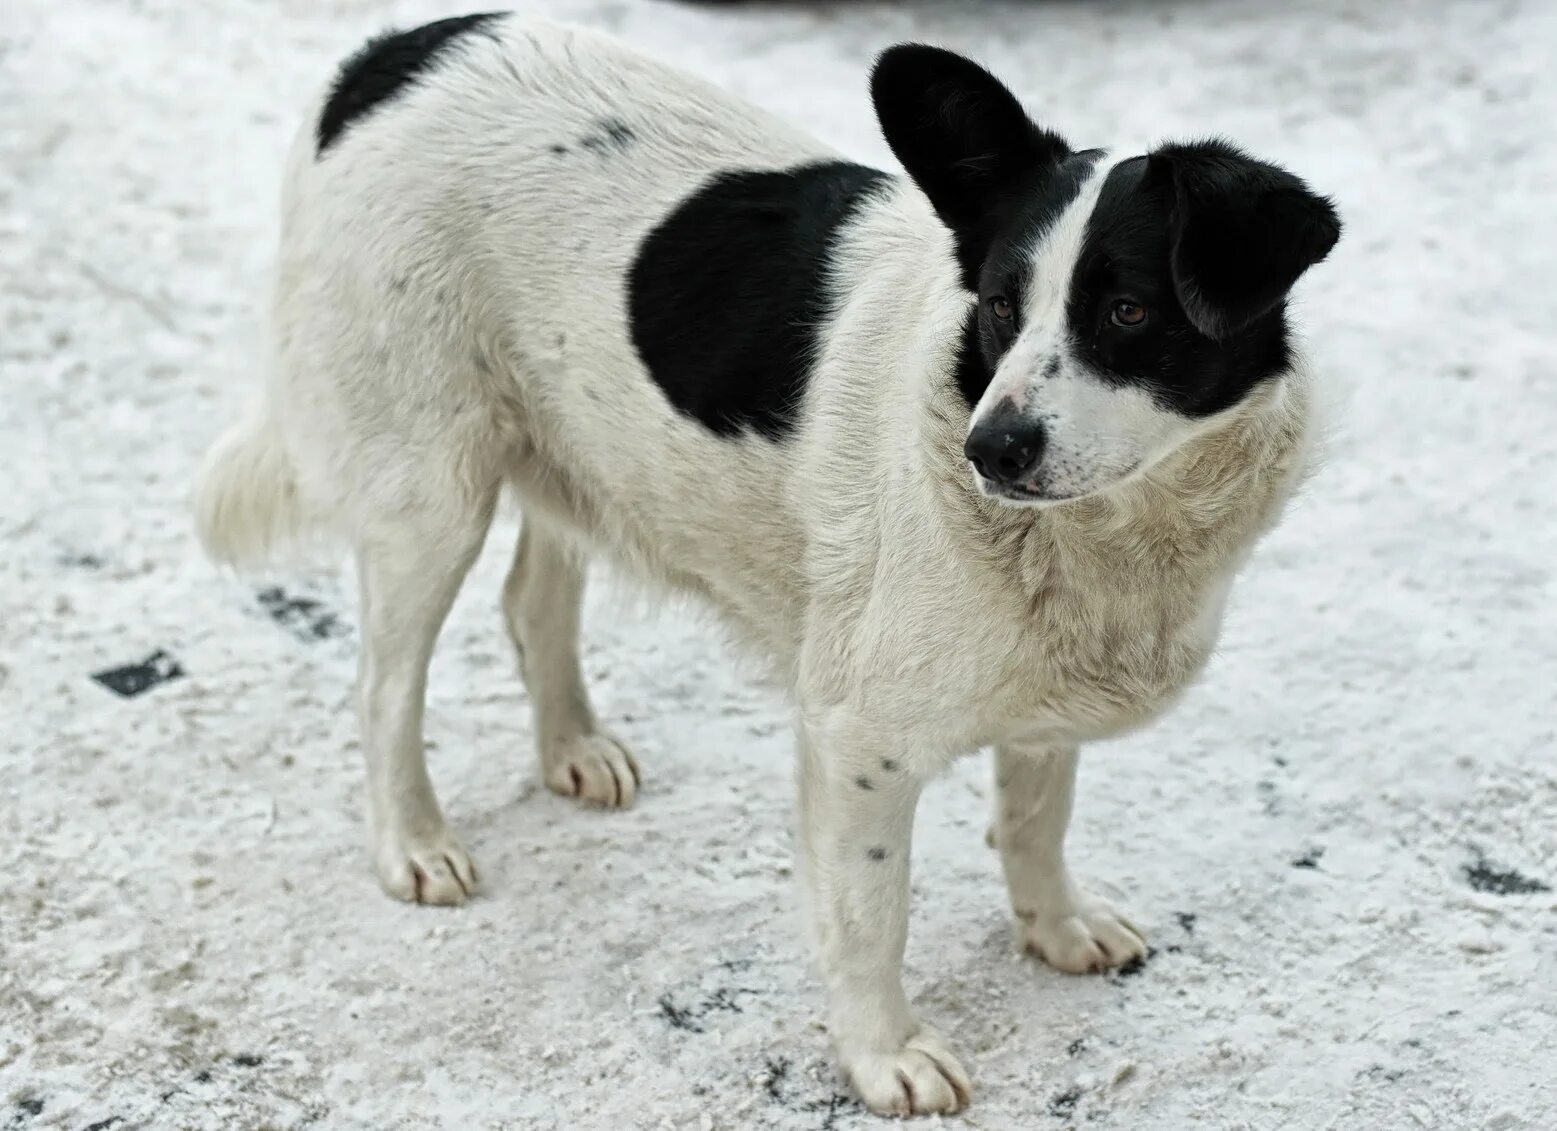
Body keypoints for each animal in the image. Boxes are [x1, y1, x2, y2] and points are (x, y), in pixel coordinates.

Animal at [194, 13, 1339, 1121]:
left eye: (1129, 311)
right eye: (998, 309)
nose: (992, 450)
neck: (1109, 535)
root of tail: (391, 52)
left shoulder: (1041, 694)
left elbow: (1034, 822)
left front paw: (1052, 927)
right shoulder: (857, 741)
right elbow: (871, 915)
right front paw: (885, 1056)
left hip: (579, 446)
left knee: (531, 601)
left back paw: (573, 748)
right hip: (426, 493)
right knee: (384, 685)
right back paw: (414, 842)